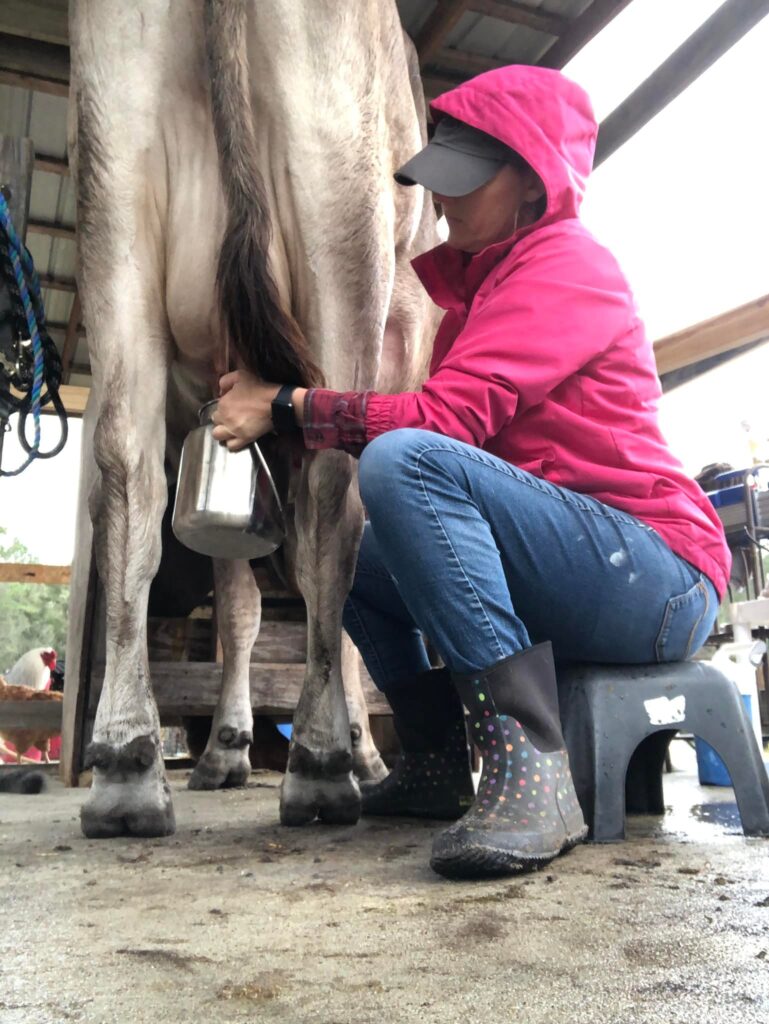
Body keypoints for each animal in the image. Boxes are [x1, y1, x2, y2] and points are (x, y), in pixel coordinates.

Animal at [65, 0, 438, 837]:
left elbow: (237, 598)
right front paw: (343, 749)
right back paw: (320, 765)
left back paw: (131, 768)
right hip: (338, 207)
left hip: (118, 193)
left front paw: (228, 749)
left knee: (128, 465)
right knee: (332, 497)